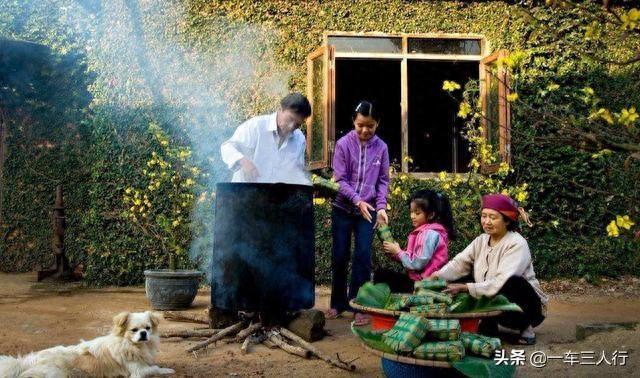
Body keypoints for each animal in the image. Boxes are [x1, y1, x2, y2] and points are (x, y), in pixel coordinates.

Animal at [0, 310, 175, 378]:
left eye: (148, 328)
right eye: (134, 330)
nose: (143, 334)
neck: (134, 346)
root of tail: (26, 362)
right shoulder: (138, 371)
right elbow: (155, 368)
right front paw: (169, 370)